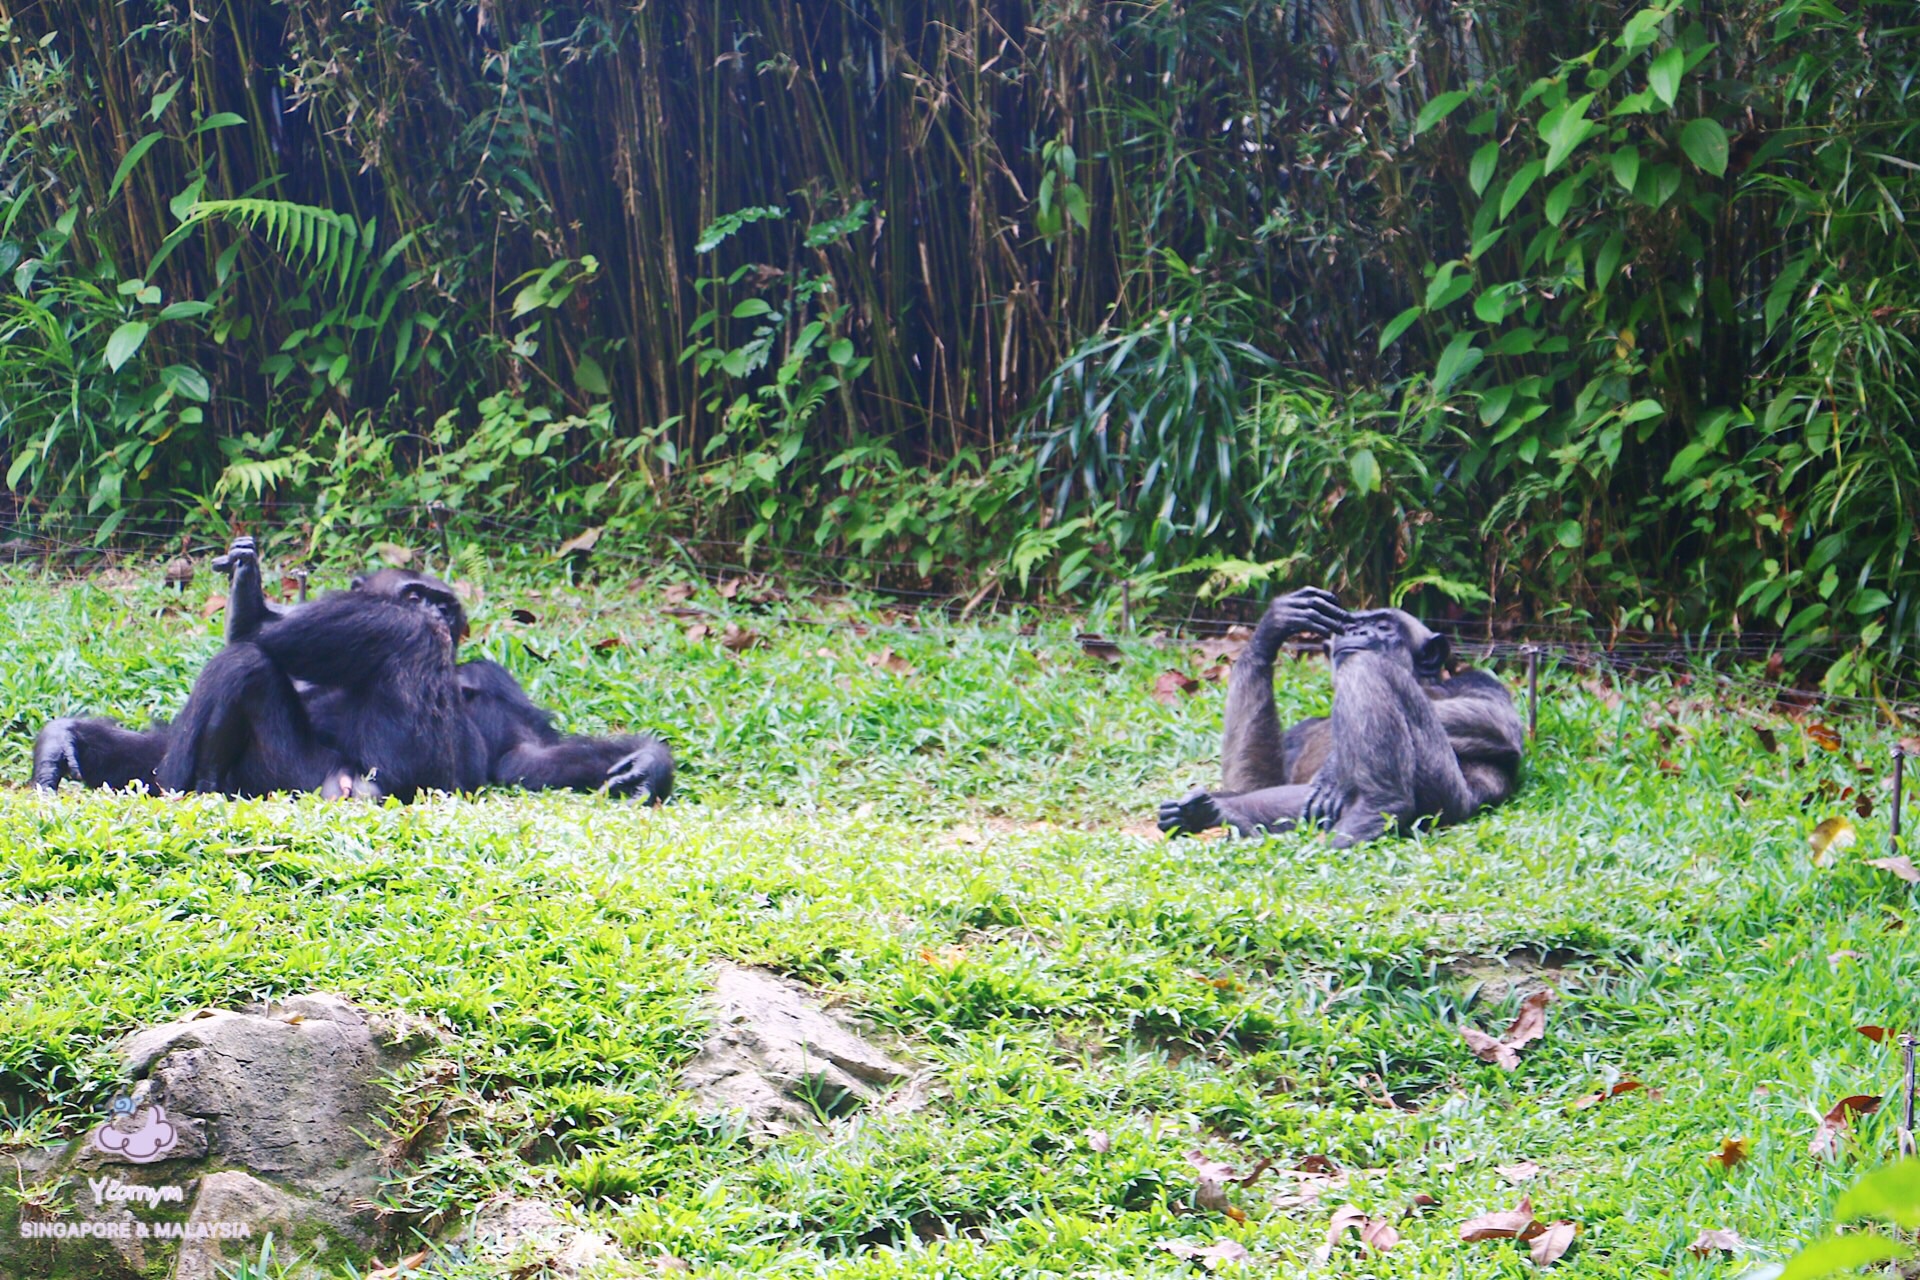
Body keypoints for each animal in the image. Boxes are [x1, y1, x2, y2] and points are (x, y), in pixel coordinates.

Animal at [1159, 591, 1520, 852]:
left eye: (1384, 626)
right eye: (1348, 626)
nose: (1358, 631)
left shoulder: (1481, 682)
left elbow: (1497, 721)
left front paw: (1333, 768)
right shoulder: (1299, 731)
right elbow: (1254, 783)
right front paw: (1273, 626)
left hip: (1443, 797)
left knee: (1365, 666)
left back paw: (1376, 808)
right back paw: (1208, 814)